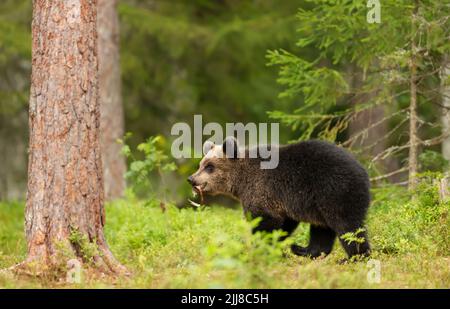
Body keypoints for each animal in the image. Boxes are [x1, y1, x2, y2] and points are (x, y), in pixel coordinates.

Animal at [188, 136, 370, 258]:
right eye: (201, 164)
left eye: (210, 167)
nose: (192, 179)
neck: (240, 181)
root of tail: (363, 171)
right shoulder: (282, 201)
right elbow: (284, 223)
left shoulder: (261, 190)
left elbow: (264, 221)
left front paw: (256, 248)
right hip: (319, 204)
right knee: (322, 228)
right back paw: (303, 249)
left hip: (333, 190)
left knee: (347, 225)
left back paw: (355, 256)